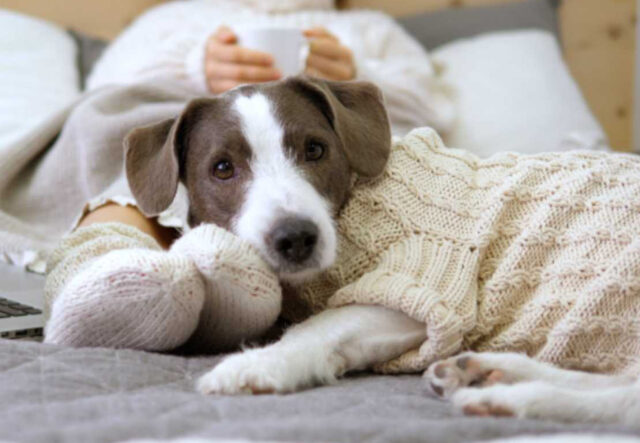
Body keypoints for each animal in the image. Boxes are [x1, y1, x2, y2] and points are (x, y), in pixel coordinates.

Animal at [125, 76, 640, 426]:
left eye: (315, 150)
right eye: (222, 168)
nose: (296, 238)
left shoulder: (421, 286)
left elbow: (317, 328)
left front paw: (259, 363)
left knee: (624, 402)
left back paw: (509, 400)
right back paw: (492, 371)